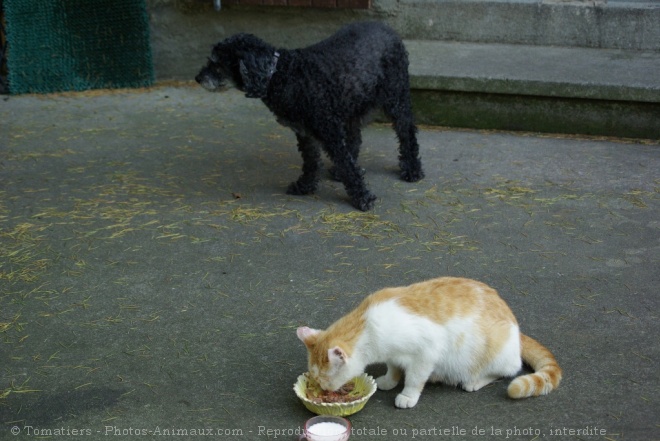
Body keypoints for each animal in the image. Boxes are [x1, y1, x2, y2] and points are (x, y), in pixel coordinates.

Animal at [196, 21, 422, 211]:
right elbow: (311, 162)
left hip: (395, 98)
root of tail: (388, 28)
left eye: (217, 64)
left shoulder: (329, 130)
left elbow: (346, 164)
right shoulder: (305, 133)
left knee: (407, 133)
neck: (282, 74)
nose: (198, 78)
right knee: (355, 138)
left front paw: (362, 197)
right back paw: (338, 172)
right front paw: (305, 186)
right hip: (351, 105)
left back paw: (412, 170)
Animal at [296, 276, 560, 408]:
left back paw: (474, 381)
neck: (368, 325)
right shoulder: (394, 355)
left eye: (323, 378)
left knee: (508, 369)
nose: (323, 389)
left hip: (495, 353)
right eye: (315, 379)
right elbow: (394, 368)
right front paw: (389, 381)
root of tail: (517, 329)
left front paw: (407, 395)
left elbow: (414, 379)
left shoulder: (426, 353)